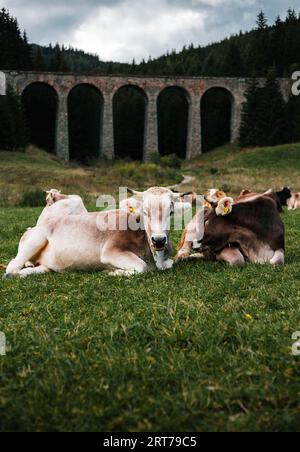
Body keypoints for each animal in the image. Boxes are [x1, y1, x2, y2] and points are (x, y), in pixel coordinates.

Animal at [4, 185, 188, 278]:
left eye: (171, 212)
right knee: (11, 267)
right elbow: (141, 267)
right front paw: (113, 272)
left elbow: (170, 264)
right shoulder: (111, 251)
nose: (159, 240)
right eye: (144, 212)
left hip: (47, 264)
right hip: (35, 239)